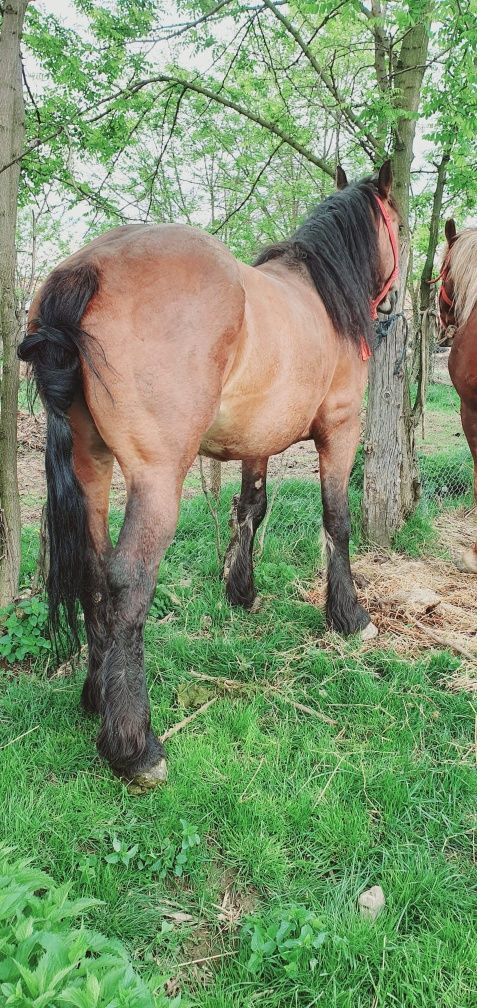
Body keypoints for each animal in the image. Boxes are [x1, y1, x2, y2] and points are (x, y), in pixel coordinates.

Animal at [18, 161, 397, 790]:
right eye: (396, 223)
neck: (321, 297)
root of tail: (85, 269)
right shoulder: (341, 430)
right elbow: (337, 521)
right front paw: (348, 616)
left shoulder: (256, 444)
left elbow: (252, 509)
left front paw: (240, 591)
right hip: (156, 480)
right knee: (126, 581)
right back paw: (134, 745)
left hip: (90, 465)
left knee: (95, 571)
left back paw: (98, 697)